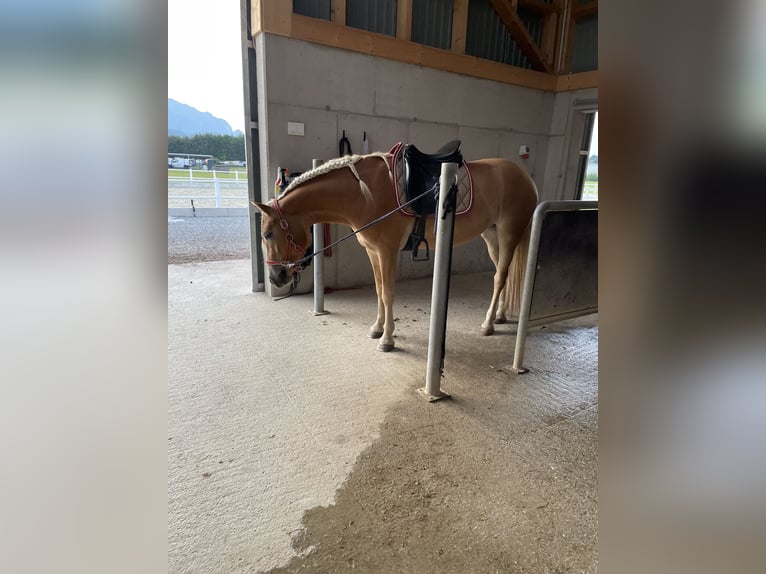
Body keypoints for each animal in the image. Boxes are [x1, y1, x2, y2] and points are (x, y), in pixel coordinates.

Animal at [255, 151, 536, 354]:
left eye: (267, 234)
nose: (274, 277)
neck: (365, 195)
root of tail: (525, 177)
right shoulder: (373, 252)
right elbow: (379, 291)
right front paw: (377, 328)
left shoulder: (387, 251)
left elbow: (388, 293)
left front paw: (387, 339)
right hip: (491, 237)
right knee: (504, 274)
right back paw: (500, 316)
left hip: (508, 234)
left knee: (499, 277)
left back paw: (488, 324)